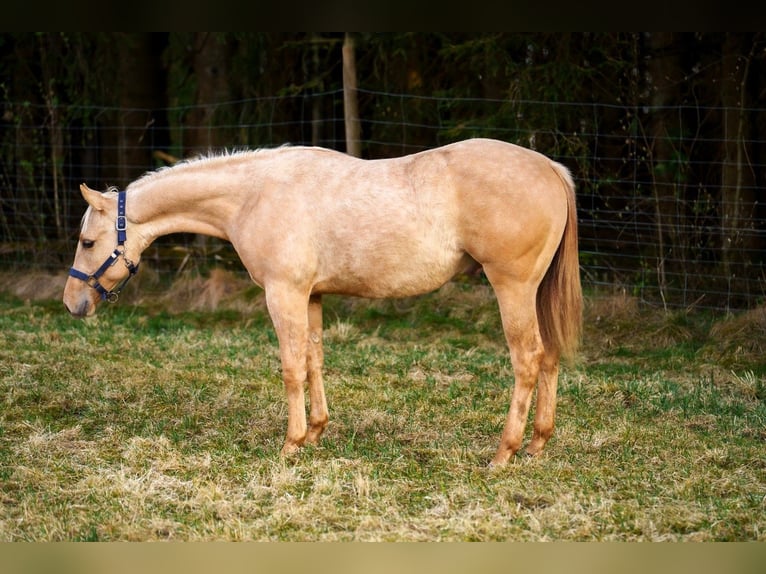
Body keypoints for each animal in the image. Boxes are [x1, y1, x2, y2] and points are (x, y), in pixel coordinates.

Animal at [63, 138, 582, 466]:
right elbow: (314, 360)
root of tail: (549, 168)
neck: (255, 194)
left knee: (528, 360)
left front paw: (290, 445)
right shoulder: (310, 297)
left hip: (512, 287)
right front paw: (315, 432)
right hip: (534, 292)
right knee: (550, 358)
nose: (72, 304)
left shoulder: (284, 293)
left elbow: (292, 367)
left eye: (88, 241)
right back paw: (536, 445)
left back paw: (504, 452)